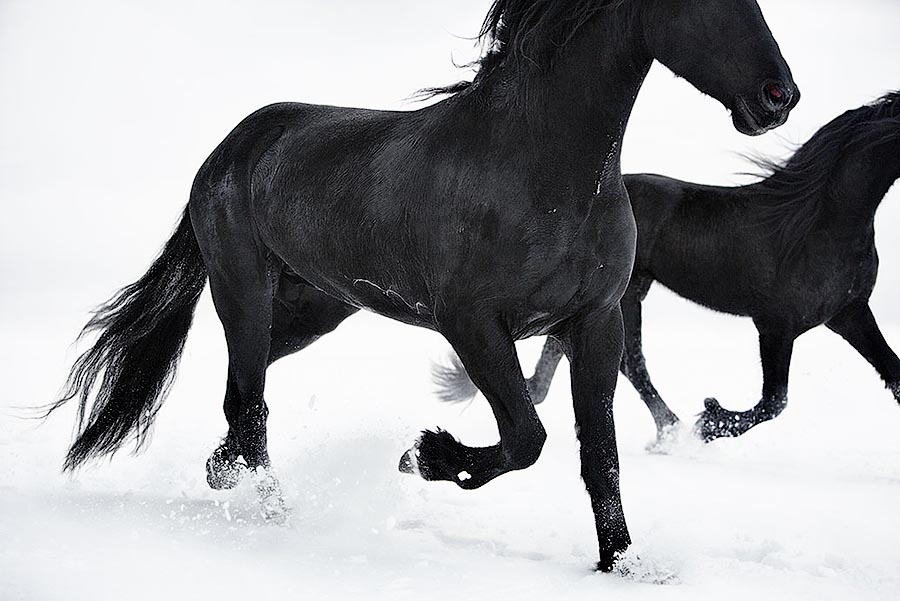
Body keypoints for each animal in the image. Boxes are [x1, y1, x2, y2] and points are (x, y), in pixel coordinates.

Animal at [47, 0, 798, 571]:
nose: (778, 98)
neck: (542, 171)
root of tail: (230, 148)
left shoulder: (597, 321)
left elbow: (600, 456)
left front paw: (623, 562)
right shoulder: (472, 325)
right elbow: (526, 436)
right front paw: (427, 454)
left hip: (316, 308)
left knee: (240, 391)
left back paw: (223, 472)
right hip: (245, 292)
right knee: (251, 404)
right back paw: (273, 508)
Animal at [446, 92, 900, 445]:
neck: (818, 224)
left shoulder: (849, 313)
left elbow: (893, 375)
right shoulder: (775, 324)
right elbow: (774, 402)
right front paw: (709, 421)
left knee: (568, 350)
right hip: (627, 295)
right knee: (631, 363)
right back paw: (671, 433)